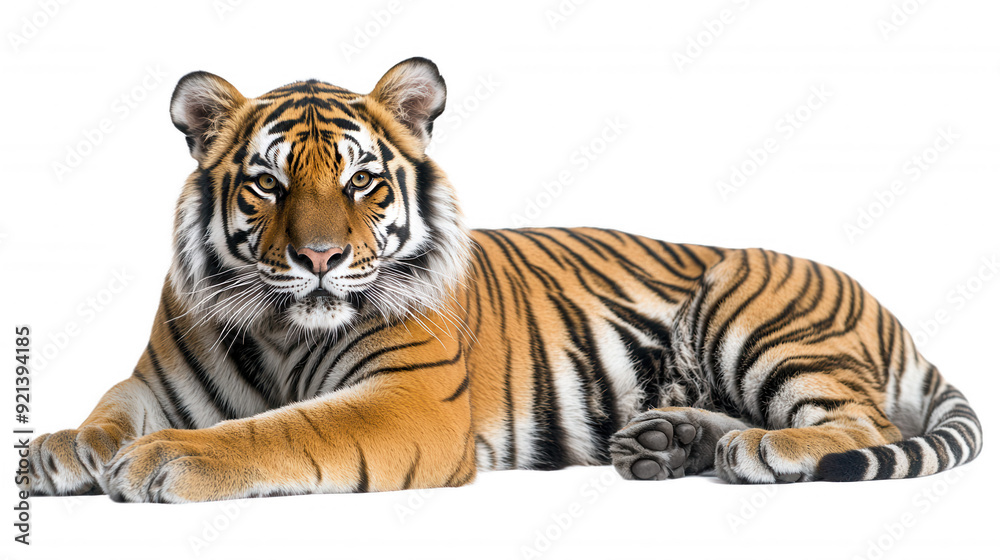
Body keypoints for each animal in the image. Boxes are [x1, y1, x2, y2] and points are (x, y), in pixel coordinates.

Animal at [22, 58, 982, 503]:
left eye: (361, 182)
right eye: (268, 183)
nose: (319, 259)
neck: (286, 329)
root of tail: (890, 312)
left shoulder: (405, 402)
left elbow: (282, 429)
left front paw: (170, 459)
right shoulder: (156, 379)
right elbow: (111, 406)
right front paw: (61, 449)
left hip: (751, 311)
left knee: (851, 421)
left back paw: (752, 450)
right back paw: (671, 443)